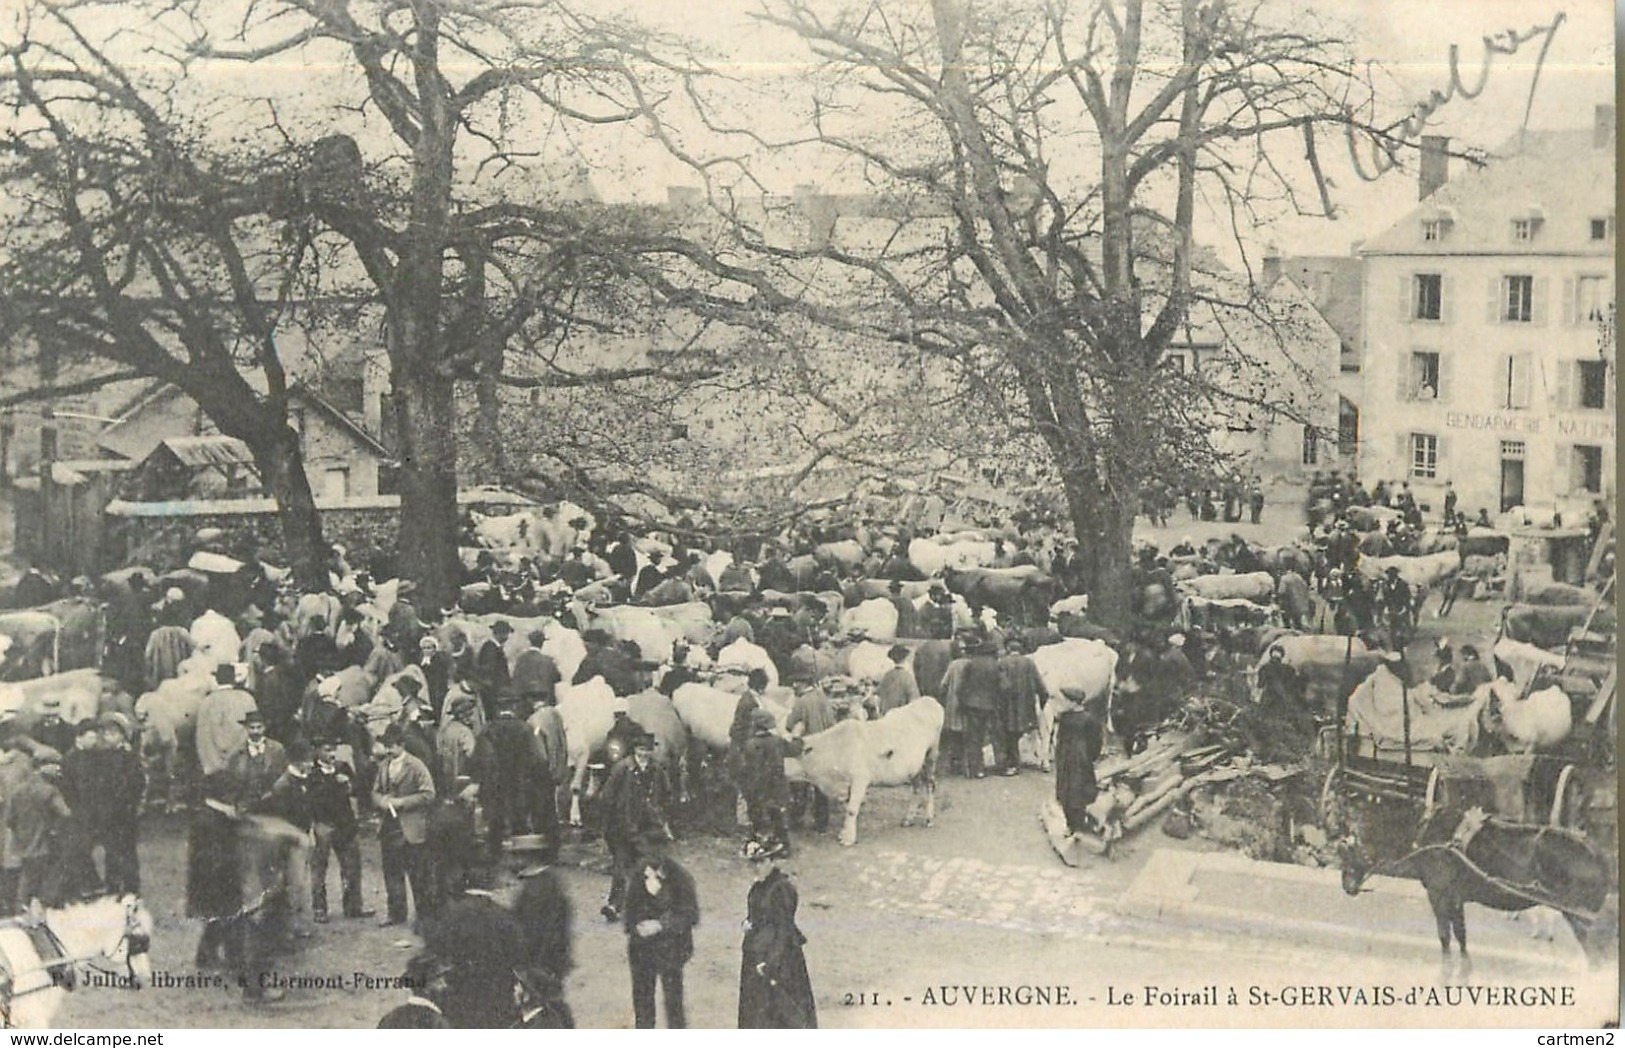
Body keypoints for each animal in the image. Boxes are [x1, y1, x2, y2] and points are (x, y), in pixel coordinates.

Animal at [783, 695, 949, 844]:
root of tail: (929, 700)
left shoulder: (860, 779)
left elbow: (851, 809)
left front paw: (848, 839)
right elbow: (848, 808)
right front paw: (844, 833)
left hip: (931, 755)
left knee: (930, 785)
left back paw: (929, 819)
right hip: (914, 766)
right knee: (916, 787)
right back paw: (908, 818)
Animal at [1339, 802, 1618, 981]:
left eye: (1348, 848)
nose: (1347, 886)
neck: (1429, 835)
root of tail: (1596, 853)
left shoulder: (1439, 895)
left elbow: (1444, 935)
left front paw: (1446, 971)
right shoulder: (1455, 898)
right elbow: (1460, 934)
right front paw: (1464, 968)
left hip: (1578, 913)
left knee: (1597, 952)